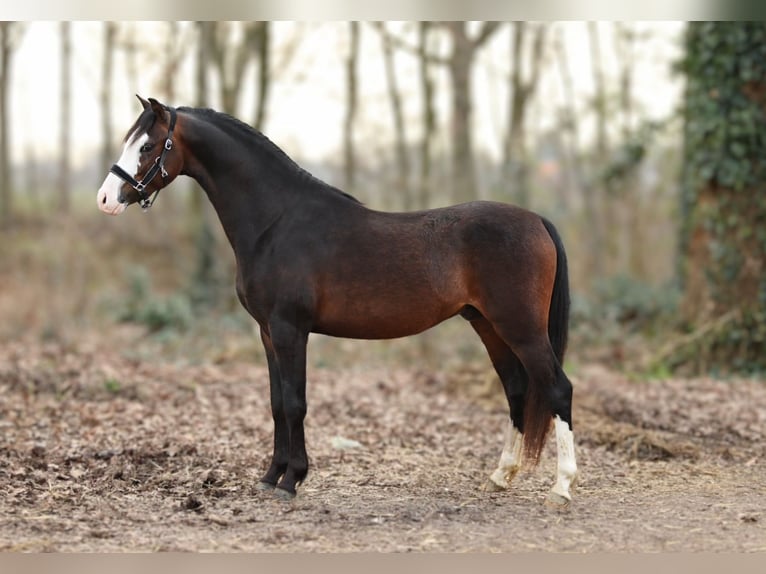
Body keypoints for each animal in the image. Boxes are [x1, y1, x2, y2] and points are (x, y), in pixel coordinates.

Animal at [97, 96, 577, 506]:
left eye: (148, 145)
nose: (105, 199)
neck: (277, 221)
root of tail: (537, 220)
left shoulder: (291, 329)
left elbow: (296, 402)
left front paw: (292, 481)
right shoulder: (267, 332)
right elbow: (277, 402)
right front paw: (270, 477)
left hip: (521, 327)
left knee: (558, 388)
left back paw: (562, 488)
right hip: (487, 325)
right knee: (516, 389)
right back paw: (501, 476)